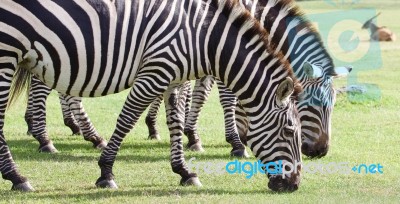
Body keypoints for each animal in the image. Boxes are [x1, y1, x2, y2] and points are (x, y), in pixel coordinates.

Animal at [0, 0, 302, 192]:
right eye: (289, 131)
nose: (294, 185)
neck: (202, 37)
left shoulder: (172, 79)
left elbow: (176, 122)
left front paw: (184, 171)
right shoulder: (155, 71)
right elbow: (126, 120)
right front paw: (106, 172)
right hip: (7, 53)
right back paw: (18, 175)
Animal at [145, 0, 352, 158]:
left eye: (333, 106)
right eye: (314, 105)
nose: (321, 152)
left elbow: (204, 96)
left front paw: (194, 136)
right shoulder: (224, 59)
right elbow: (228, 99)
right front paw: (236, 143)